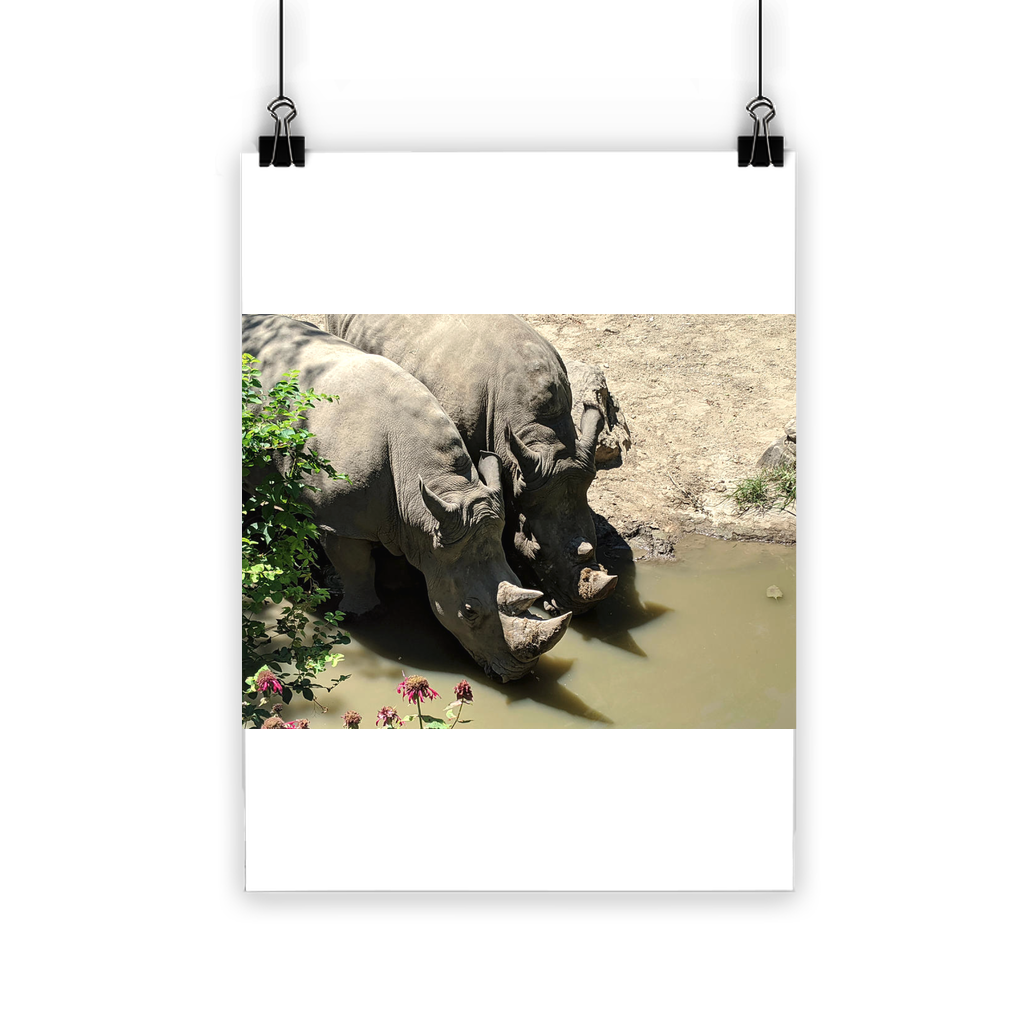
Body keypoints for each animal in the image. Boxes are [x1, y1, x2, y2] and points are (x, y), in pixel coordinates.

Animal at [241, 314, 572, 682]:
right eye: (469, 611)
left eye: (519, 582)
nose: (519, 675)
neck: (441, 483)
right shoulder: (340, 522)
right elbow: (356, 568)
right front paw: (365, 615)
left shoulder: (419, 519)